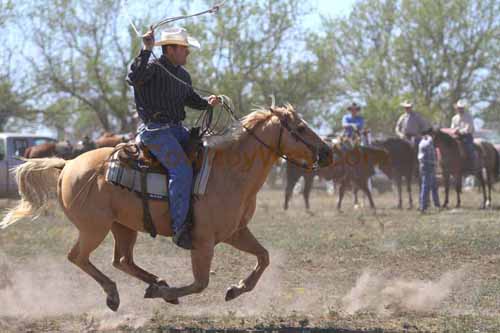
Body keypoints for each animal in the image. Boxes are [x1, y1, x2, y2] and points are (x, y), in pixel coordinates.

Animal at [0, 104, 332, 312]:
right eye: (300, 127)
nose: (328, 152)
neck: (230, 171)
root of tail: (67, 164)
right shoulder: (203, 241)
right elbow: (200, 283)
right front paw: (170, 293)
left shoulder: (235, 232)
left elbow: (263, 257)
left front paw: (236, 289)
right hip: (94, 229)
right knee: (79, 257)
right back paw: (117, 294)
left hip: (123, 227)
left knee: (122, 260)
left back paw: (154, 283)